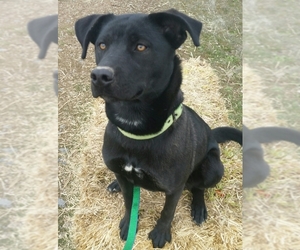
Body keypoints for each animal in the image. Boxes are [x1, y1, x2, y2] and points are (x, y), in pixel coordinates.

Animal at [76, 9, 240, 248]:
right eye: (102, 45)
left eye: (141, 47)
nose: (99, 76)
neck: (135, 130)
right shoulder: (126, 177)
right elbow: (128, 202)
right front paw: (129, 223)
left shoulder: (174, 188)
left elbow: (167, 212)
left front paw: (161, 233)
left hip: (213, 168)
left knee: (199, 187)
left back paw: (199, 207)